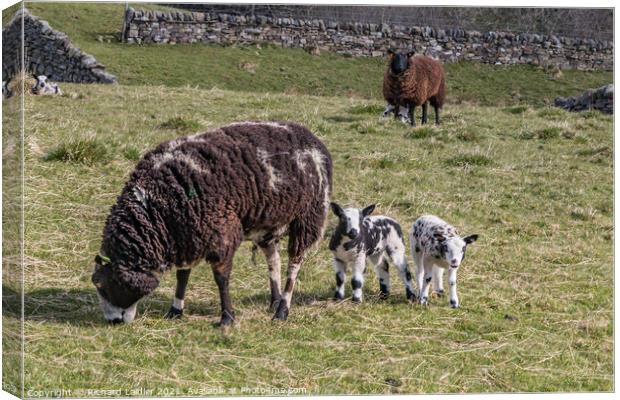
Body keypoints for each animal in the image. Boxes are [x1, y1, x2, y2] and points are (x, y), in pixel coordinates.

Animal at [91, 119, 334, 324]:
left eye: (100, 283)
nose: (113, 321)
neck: (155, 206)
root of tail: (314, 140)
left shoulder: (221, 233)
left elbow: (221, 279)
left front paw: (227, 318)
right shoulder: (186, 236)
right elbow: (182, 276)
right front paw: (175, 311)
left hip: (308, 217)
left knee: (295, 262)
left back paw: (282, 310)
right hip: (267, 224)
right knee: (274, 260)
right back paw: (274, 302)